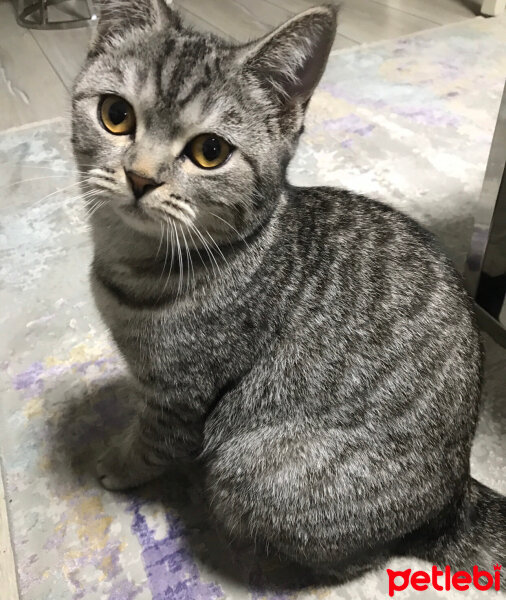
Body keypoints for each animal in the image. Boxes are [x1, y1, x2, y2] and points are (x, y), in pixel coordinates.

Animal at [72, 0, 506, 580]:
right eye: (115, 115)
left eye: (210, 151)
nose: (140, 177)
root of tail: (455, 496)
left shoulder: (181, 393)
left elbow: (152, 441)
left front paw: (118, 465)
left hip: (250, 468)